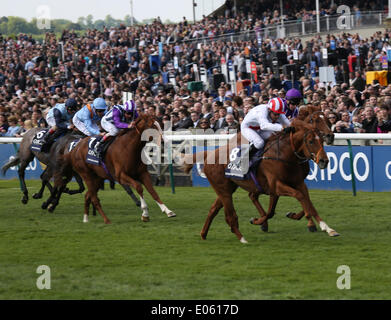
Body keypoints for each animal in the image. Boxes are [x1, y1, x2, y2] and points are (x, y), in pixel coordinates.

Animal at [48, 114, 176, 224]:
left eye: (160, 125)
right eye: (152, 126)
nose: (164, 141)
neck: (129, 148)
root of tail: (74, 149)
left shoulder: (143, 173)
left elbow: (153, 192)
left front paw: (168, 211)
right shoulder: (120, 176)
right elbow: (139, 187)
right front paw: (145, 214)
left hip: (97, 178)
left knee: (88, 195)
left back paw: (85, 218)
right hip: (86, 175)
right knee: (94, 198)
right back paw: (106, 220)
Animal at [182, 119, 338, 242]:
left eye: (321, 141)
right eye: (311, 141)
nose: (324, 161)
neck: (283, 154)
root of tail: (209, 154)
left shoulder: (297, 183)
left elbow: (307, 202)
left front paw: (327, 228)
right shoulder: (276, 186)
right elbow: (295, 199)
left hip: (228, 188)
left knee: (213, 209)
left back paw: (204, 234)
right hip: (223, 189)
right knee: (229, 213)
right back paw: (240, 237)